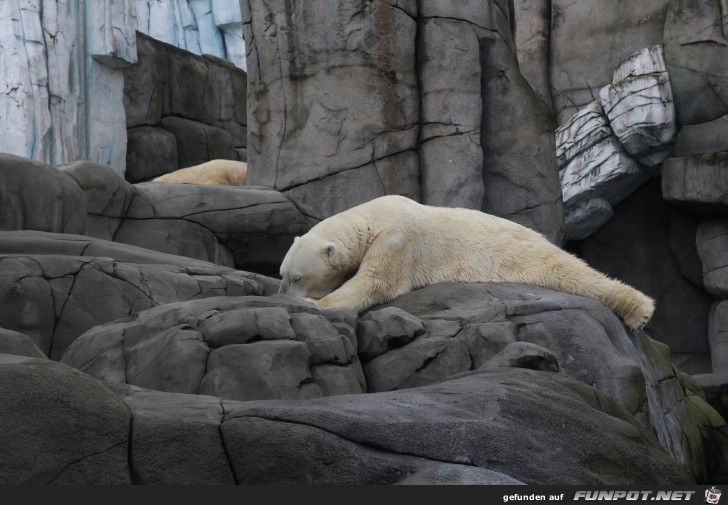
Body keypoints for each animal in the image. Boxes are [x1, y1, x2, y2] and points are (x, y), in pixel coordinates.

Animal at [278, 194, 656, 330]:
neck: (373, 216)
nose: (282, 294)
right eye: (281, 273)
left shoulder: (398, 241)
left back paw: (639, 309)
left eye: (296, 277)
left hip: (525, 254)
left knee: (573, 272)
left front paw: (318, 304)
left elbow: (375, 283)